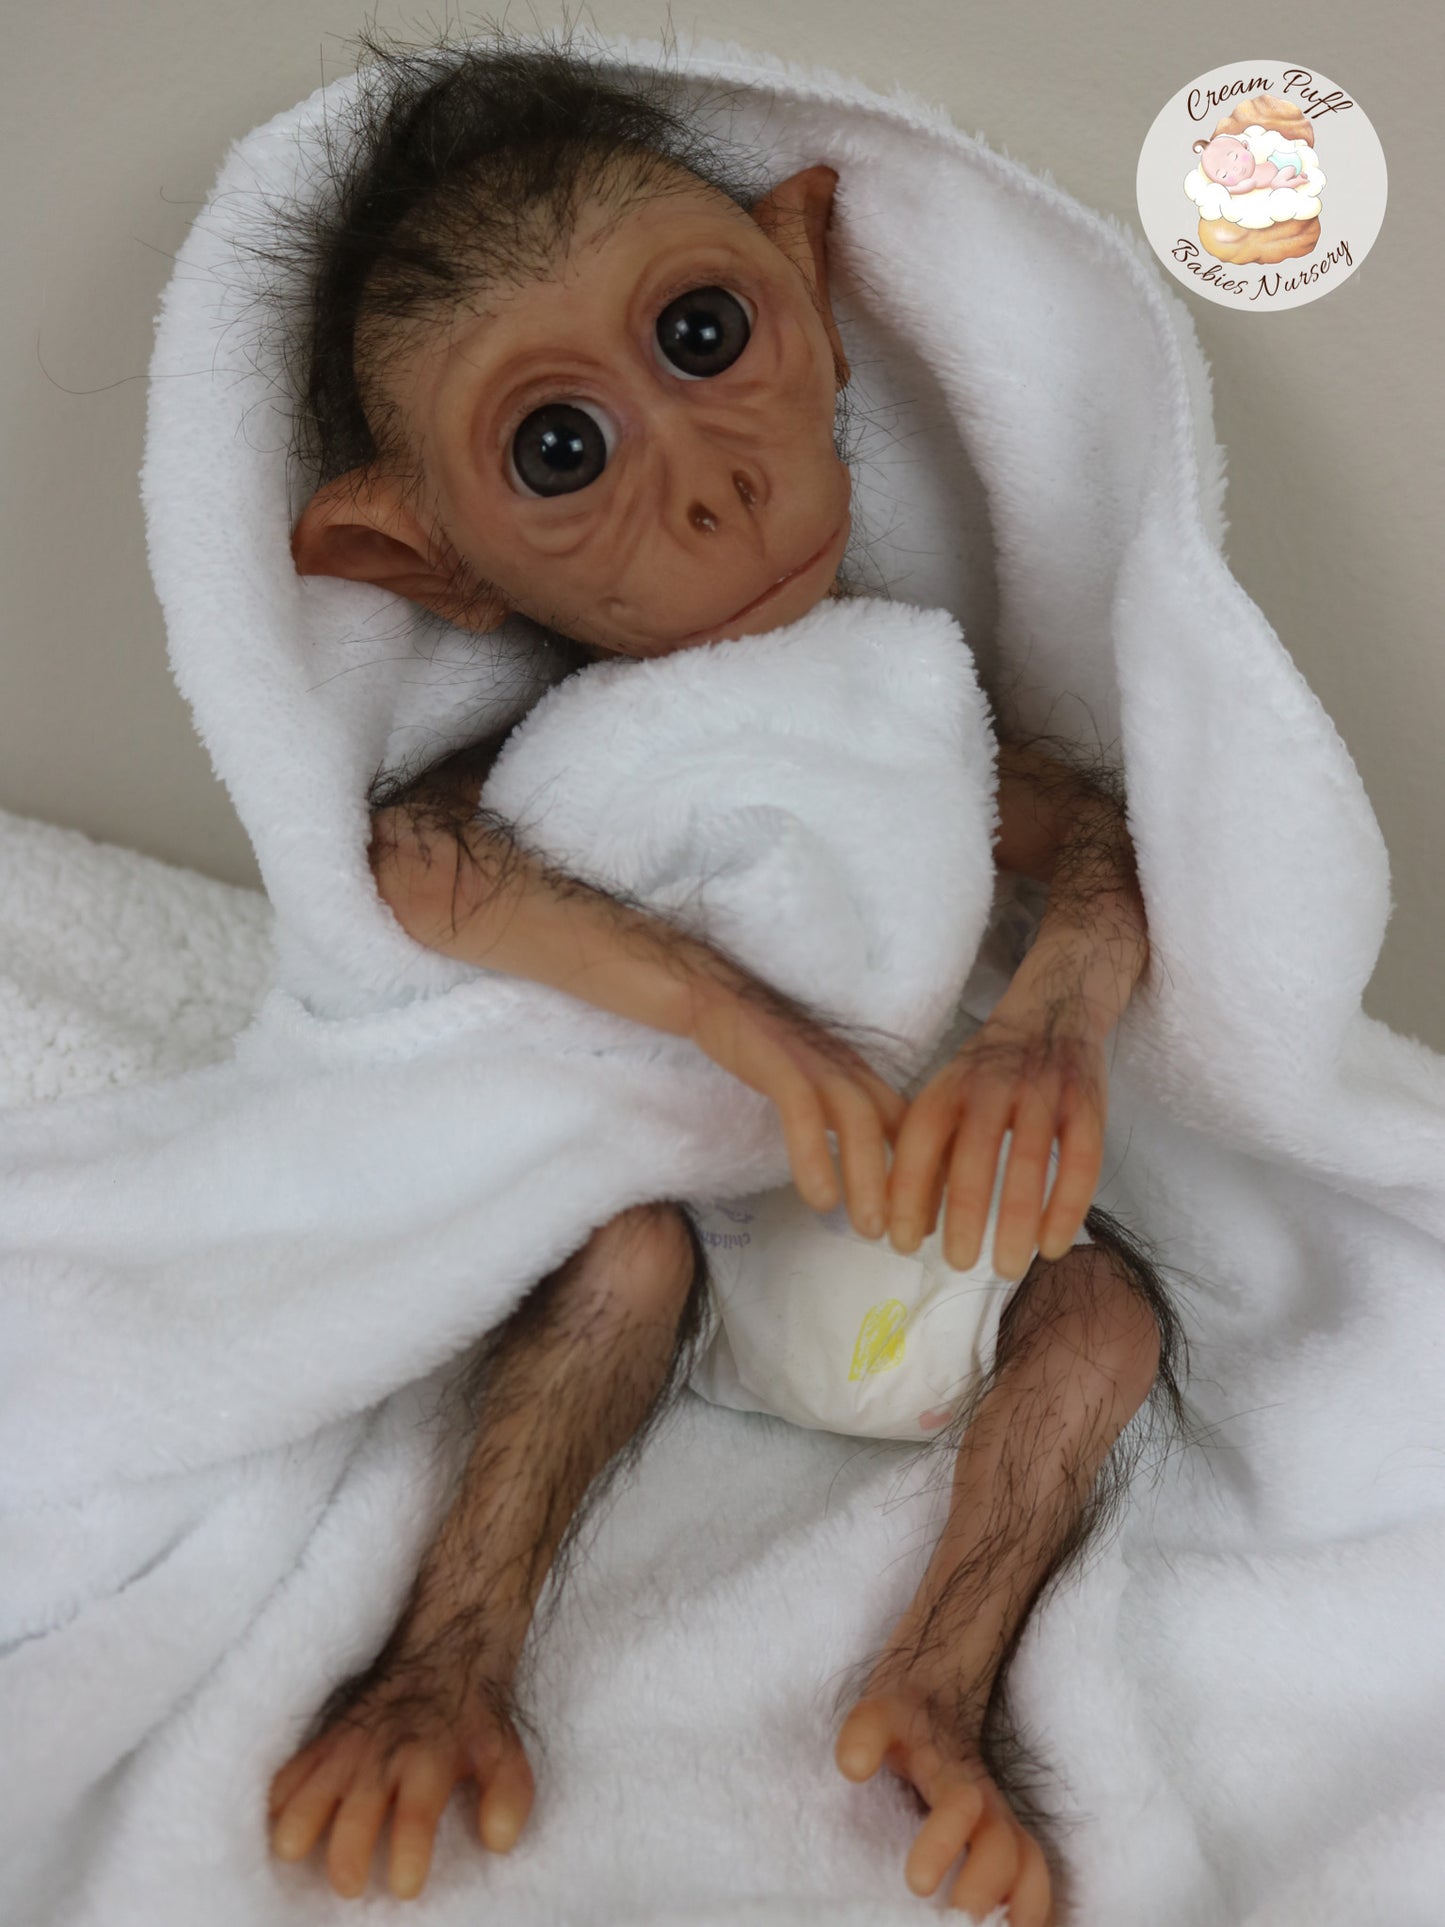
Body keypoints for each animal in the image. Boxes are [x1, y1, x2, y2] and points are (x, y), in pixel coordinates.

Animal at [260, 25, 1189, 1923]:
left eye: (704, 331)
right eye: (557, 446)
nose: (713, 489)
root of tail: (823, 1395)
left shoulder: (970, 688)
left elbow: (1091, 844)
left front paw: (1020, 1068)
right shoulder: (510, 742)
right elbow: (415, 848)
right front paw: (793, 1044)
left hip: (1000, 1296)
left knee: (1097, 1327)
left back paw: (937, 1743)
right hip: (684, 1277)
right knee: (615, 1265)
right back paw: (419, 1712)